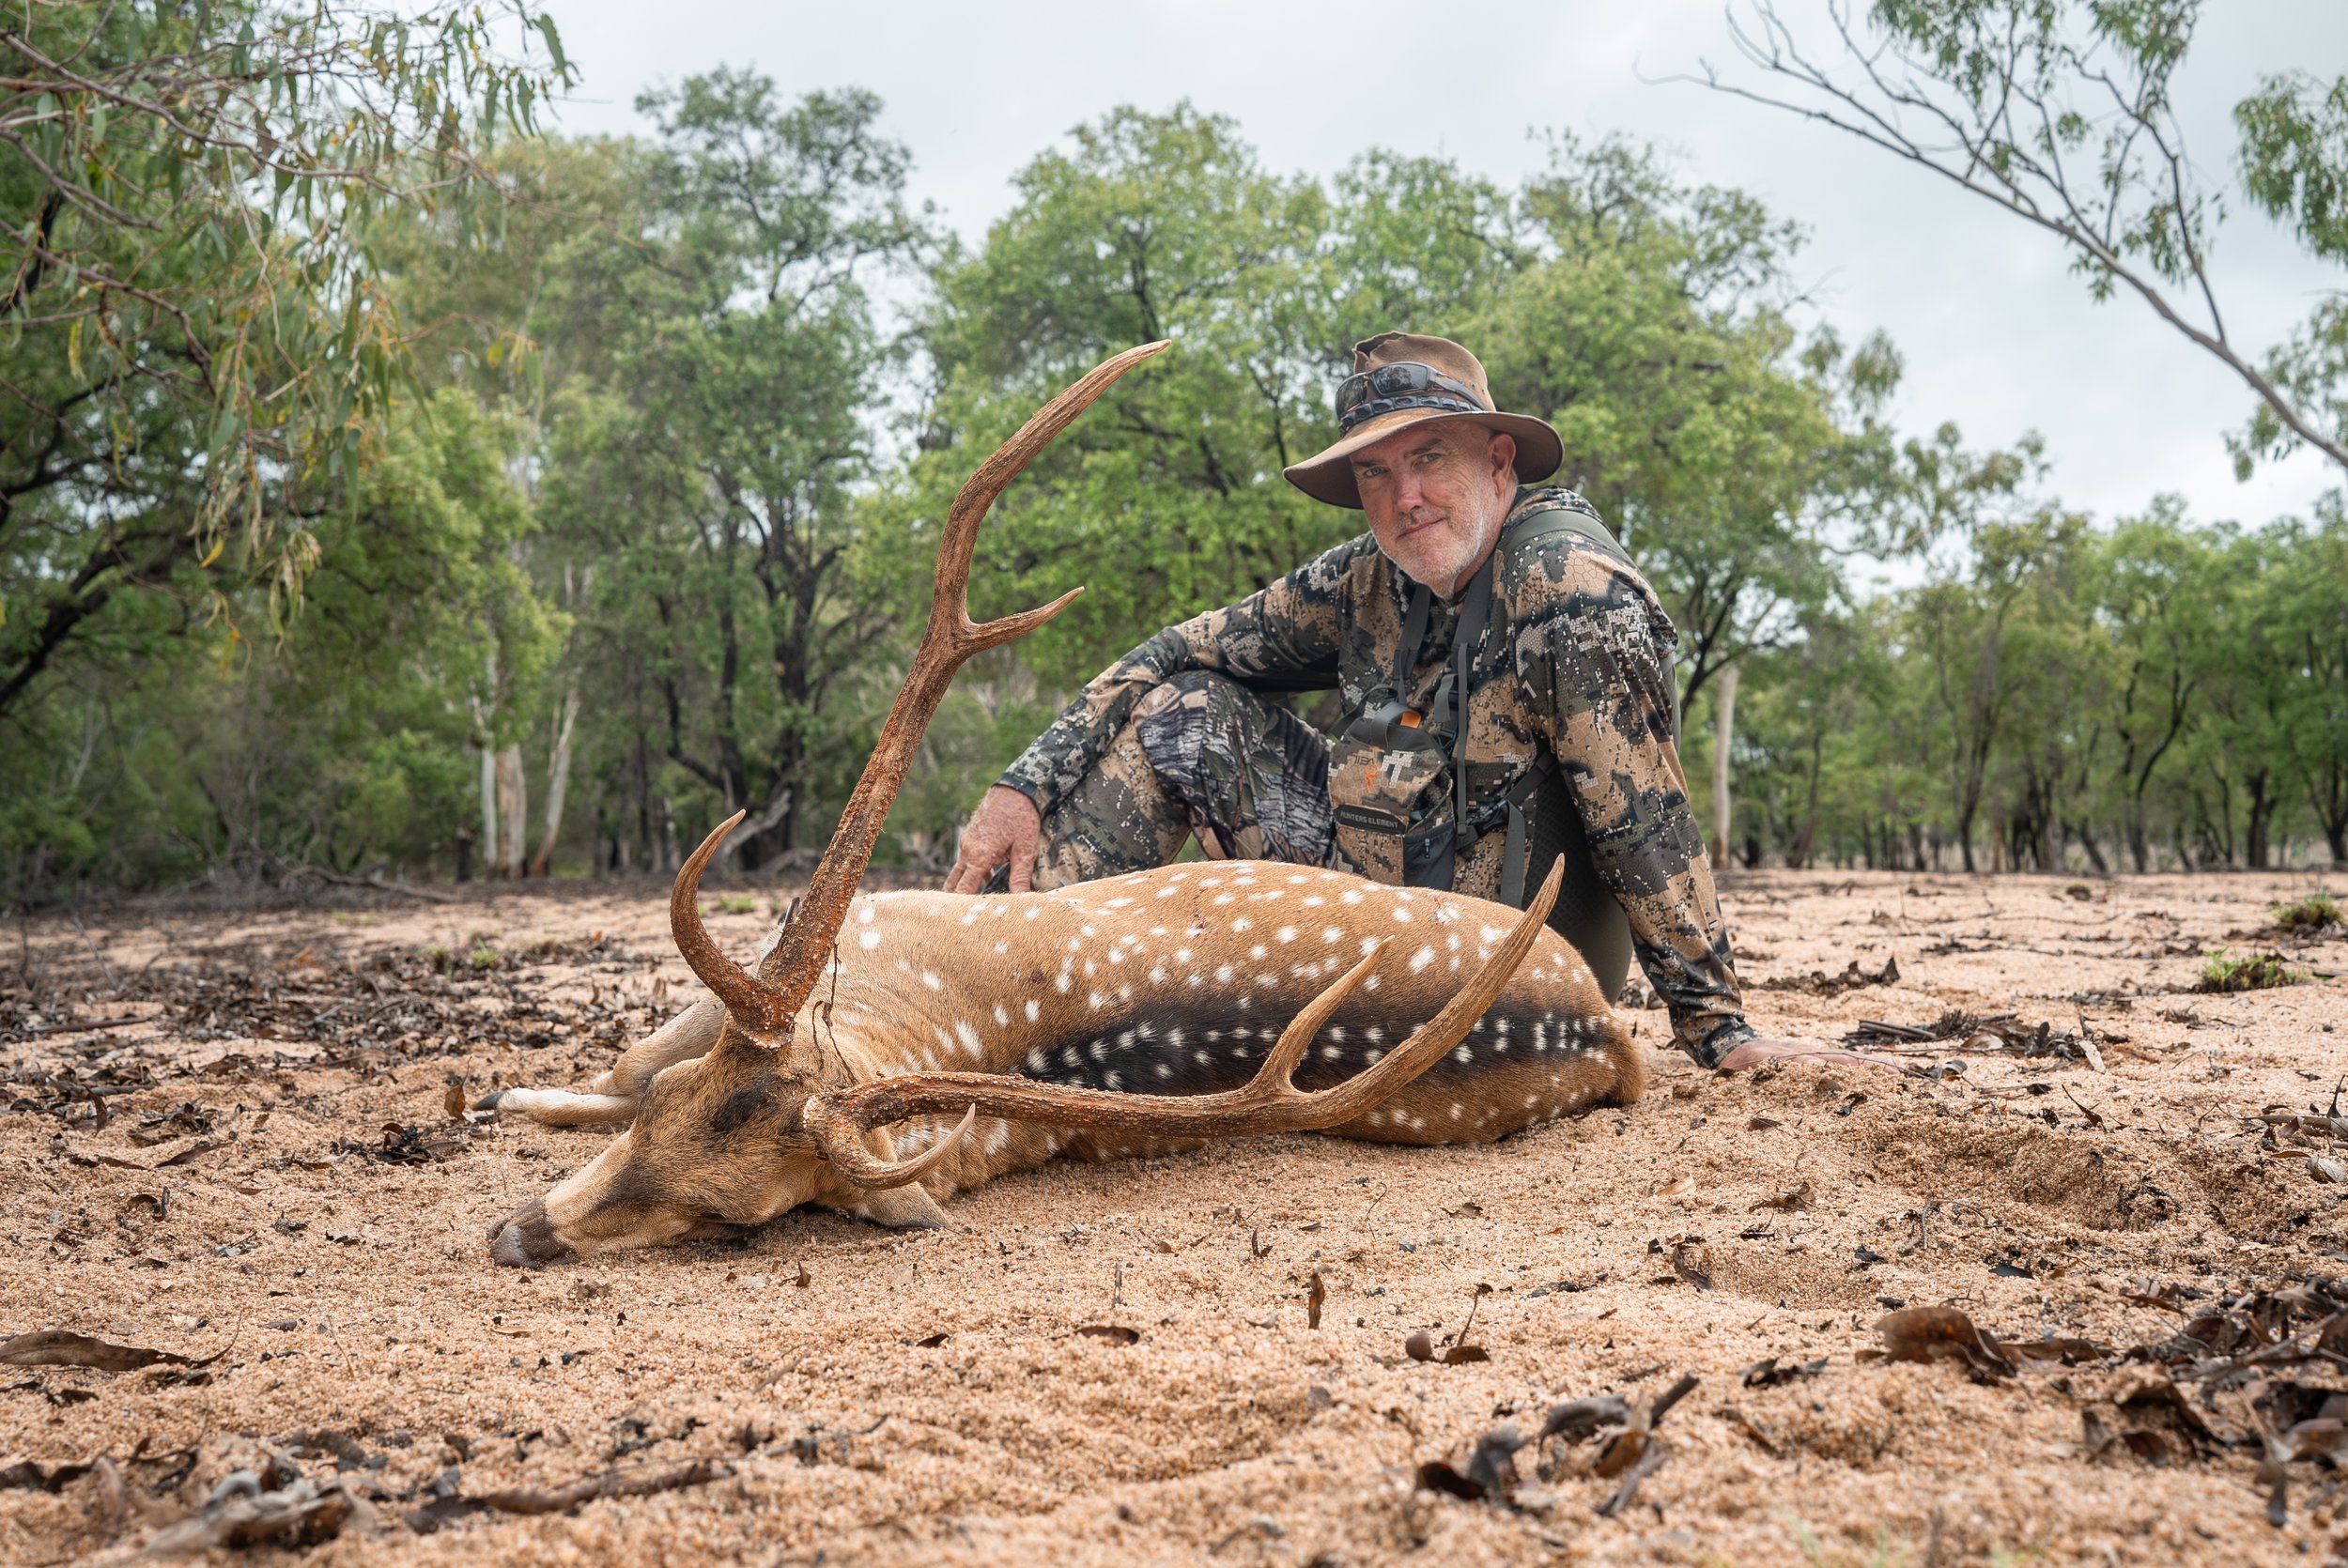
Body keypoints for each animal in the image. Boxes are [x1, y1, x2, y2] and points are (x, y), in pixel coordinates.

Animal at [482, 342, 1646, 1268]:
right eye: (666, 1119)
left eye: (728, 1216)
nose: (517, 1234)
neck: (914, 1028)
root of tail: (1609, 1029)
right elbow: (626, 1069)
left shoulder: (869, 919)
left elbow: (612, 1067)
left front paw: (509, 1097)